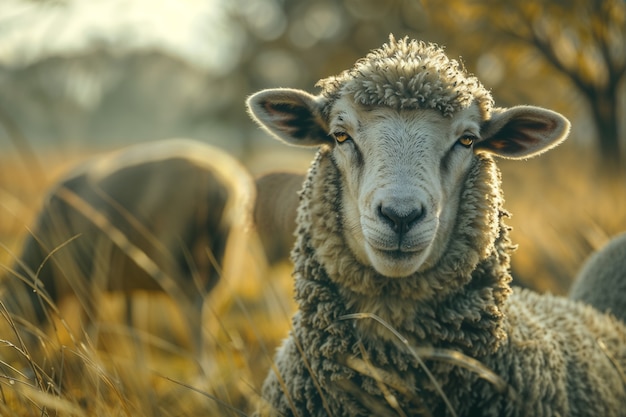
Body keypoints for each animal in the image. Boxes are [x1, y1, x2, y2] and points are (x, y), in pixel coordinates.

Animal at [4, 138, 254, 346]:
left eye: (14, 311)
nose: (28, 350)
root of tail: (219, 184)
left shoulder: (87, 281)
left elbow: (90, 328)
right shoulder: (128, 282)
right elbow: (133, 327)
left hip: (177, 257)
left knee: (194, 316)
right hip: (221, 261)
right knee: (207, 313)